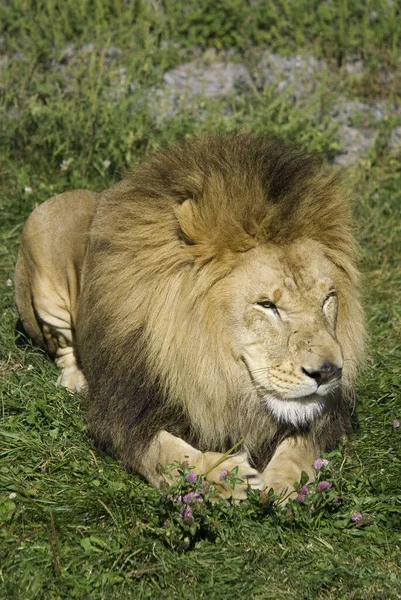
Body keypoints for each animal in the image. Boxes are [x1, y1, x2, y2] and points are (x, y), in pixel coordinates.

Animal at [14, 134, 366, 500]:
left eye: (328, 299)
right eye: (267, 305)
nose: (327, 372)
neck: (216, 369)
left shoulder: (327, 415)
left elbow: (302, 444)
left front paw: (285, 481)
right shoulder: (122, 413)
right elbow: (168, 453)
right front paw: (225, 476)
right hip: (42, 240)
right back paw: (76, 380)